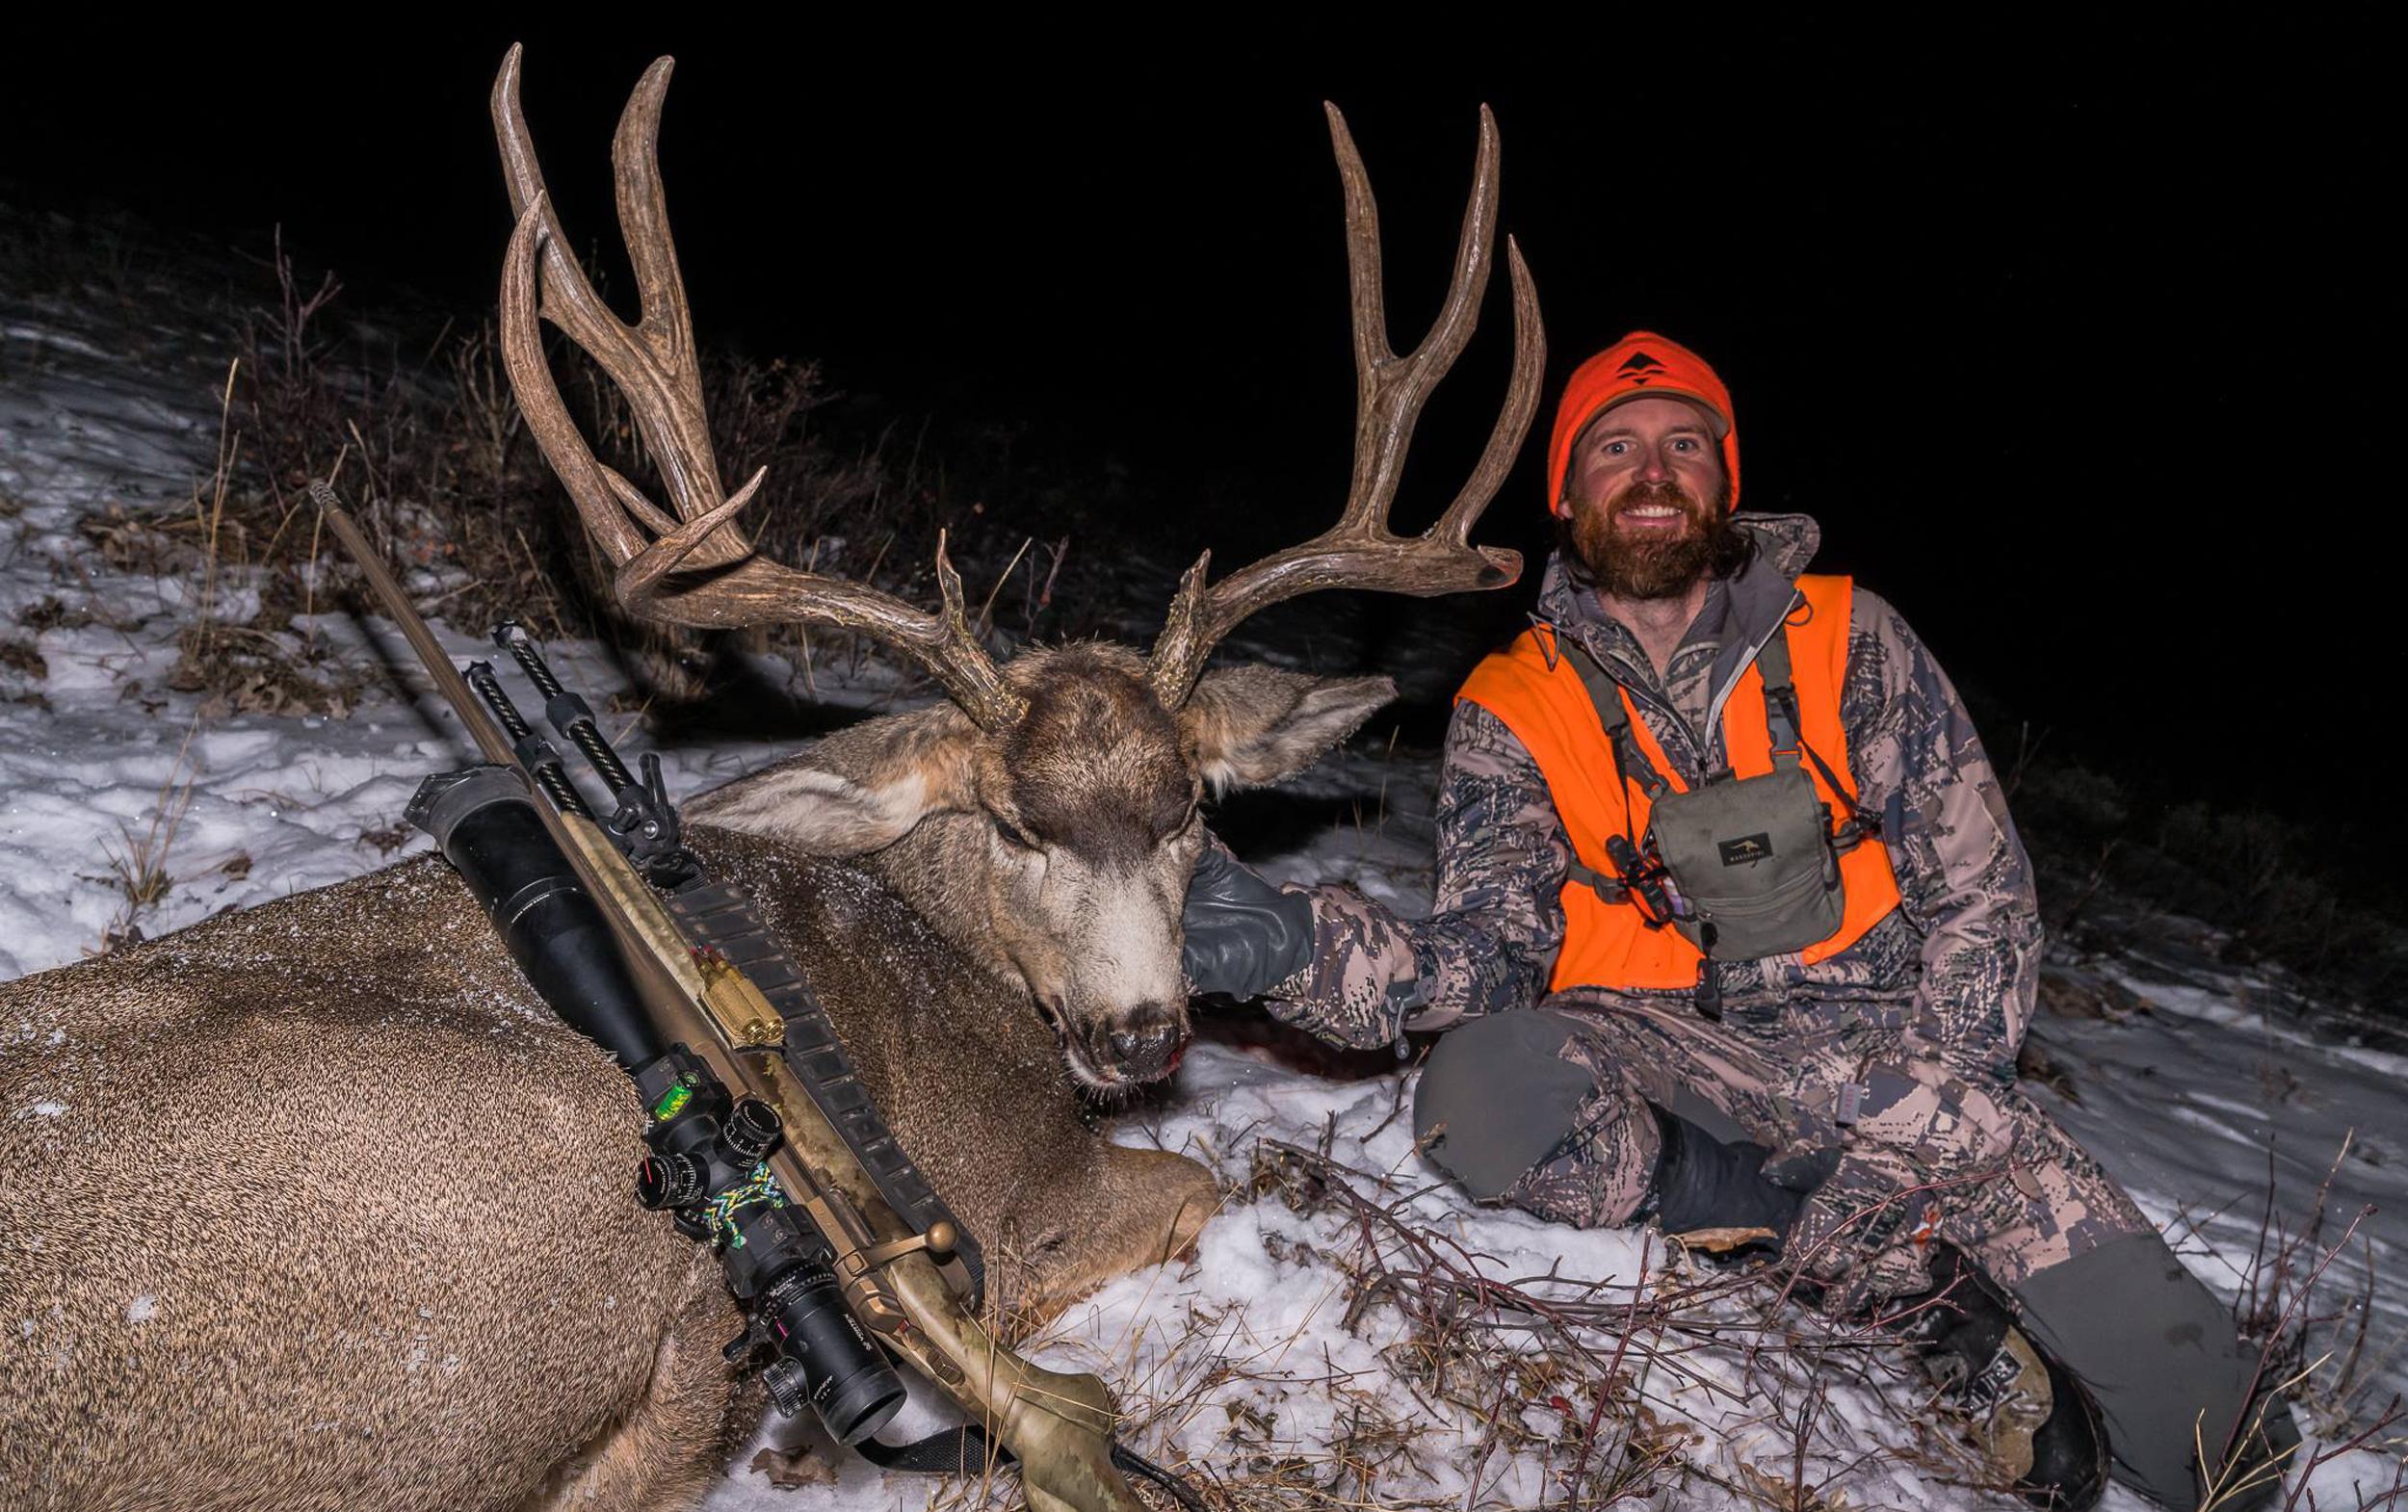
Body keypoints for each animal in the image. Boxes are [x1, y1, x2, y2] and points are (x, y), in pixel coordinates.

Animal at [0, 46, 1539, 1512]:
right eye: (1011, 824)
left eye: (1190, 813)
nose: (1142, 1032)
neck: (955, 948)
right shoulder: (1010, 1190)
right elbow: (1192, 1183)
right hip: (540, 1166)